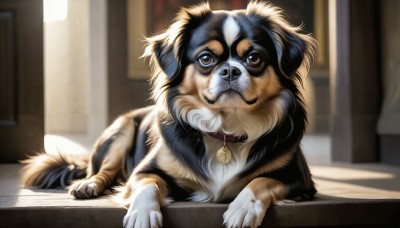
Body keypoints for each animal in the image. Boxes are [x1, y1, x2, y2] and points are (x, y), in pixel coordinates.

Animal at [21, 2, 316, 228]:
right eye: (206, 59)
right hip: (121, 131)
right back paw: (88, 184)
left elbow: (260, 181)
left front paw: (242, 208)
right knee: (103, 171)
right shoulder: (143, 171)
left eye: (254, 59)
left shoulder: (299, 181)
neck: (226, 128)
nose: (230, 70)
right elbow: (148, 185)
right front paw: (142, 215)